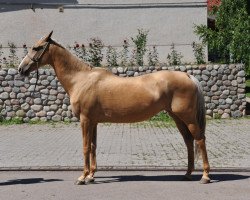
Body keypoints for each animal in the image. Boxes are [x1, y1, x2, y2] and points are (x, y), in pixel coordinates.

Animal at [18, 31, 211, 184]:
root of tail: (188, 76)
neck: (81, 78)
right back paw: (187, 174)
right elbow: (93, 146)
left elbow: (85, 147)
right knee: (189, 141)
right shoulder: (93, 122)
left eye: (36, 48)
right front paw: (91, 176)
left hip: (187, 118)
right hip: (177, 117)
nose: (21, 69)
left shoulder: (85, 120)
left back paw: (205, 176)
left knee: (200, 140)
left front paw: (82, 177)